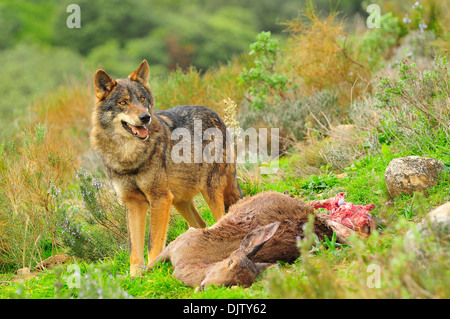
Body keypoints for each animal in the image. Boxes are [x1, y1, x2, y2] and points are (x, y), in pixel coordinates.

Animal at [89, 61, 243, 276]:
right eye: (123, 102)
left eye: (142, 99)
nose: (145, 117)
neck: (129, 156)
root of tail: (215, 115)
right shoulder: (134, 203)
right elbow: (134, 248)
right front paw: (135, 276)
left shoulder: (159, 199)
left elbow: (153, 243)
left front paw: (152, 272)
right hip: (179, 200)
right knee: (201, 225)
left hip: (209, 192)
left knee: (221, 220)